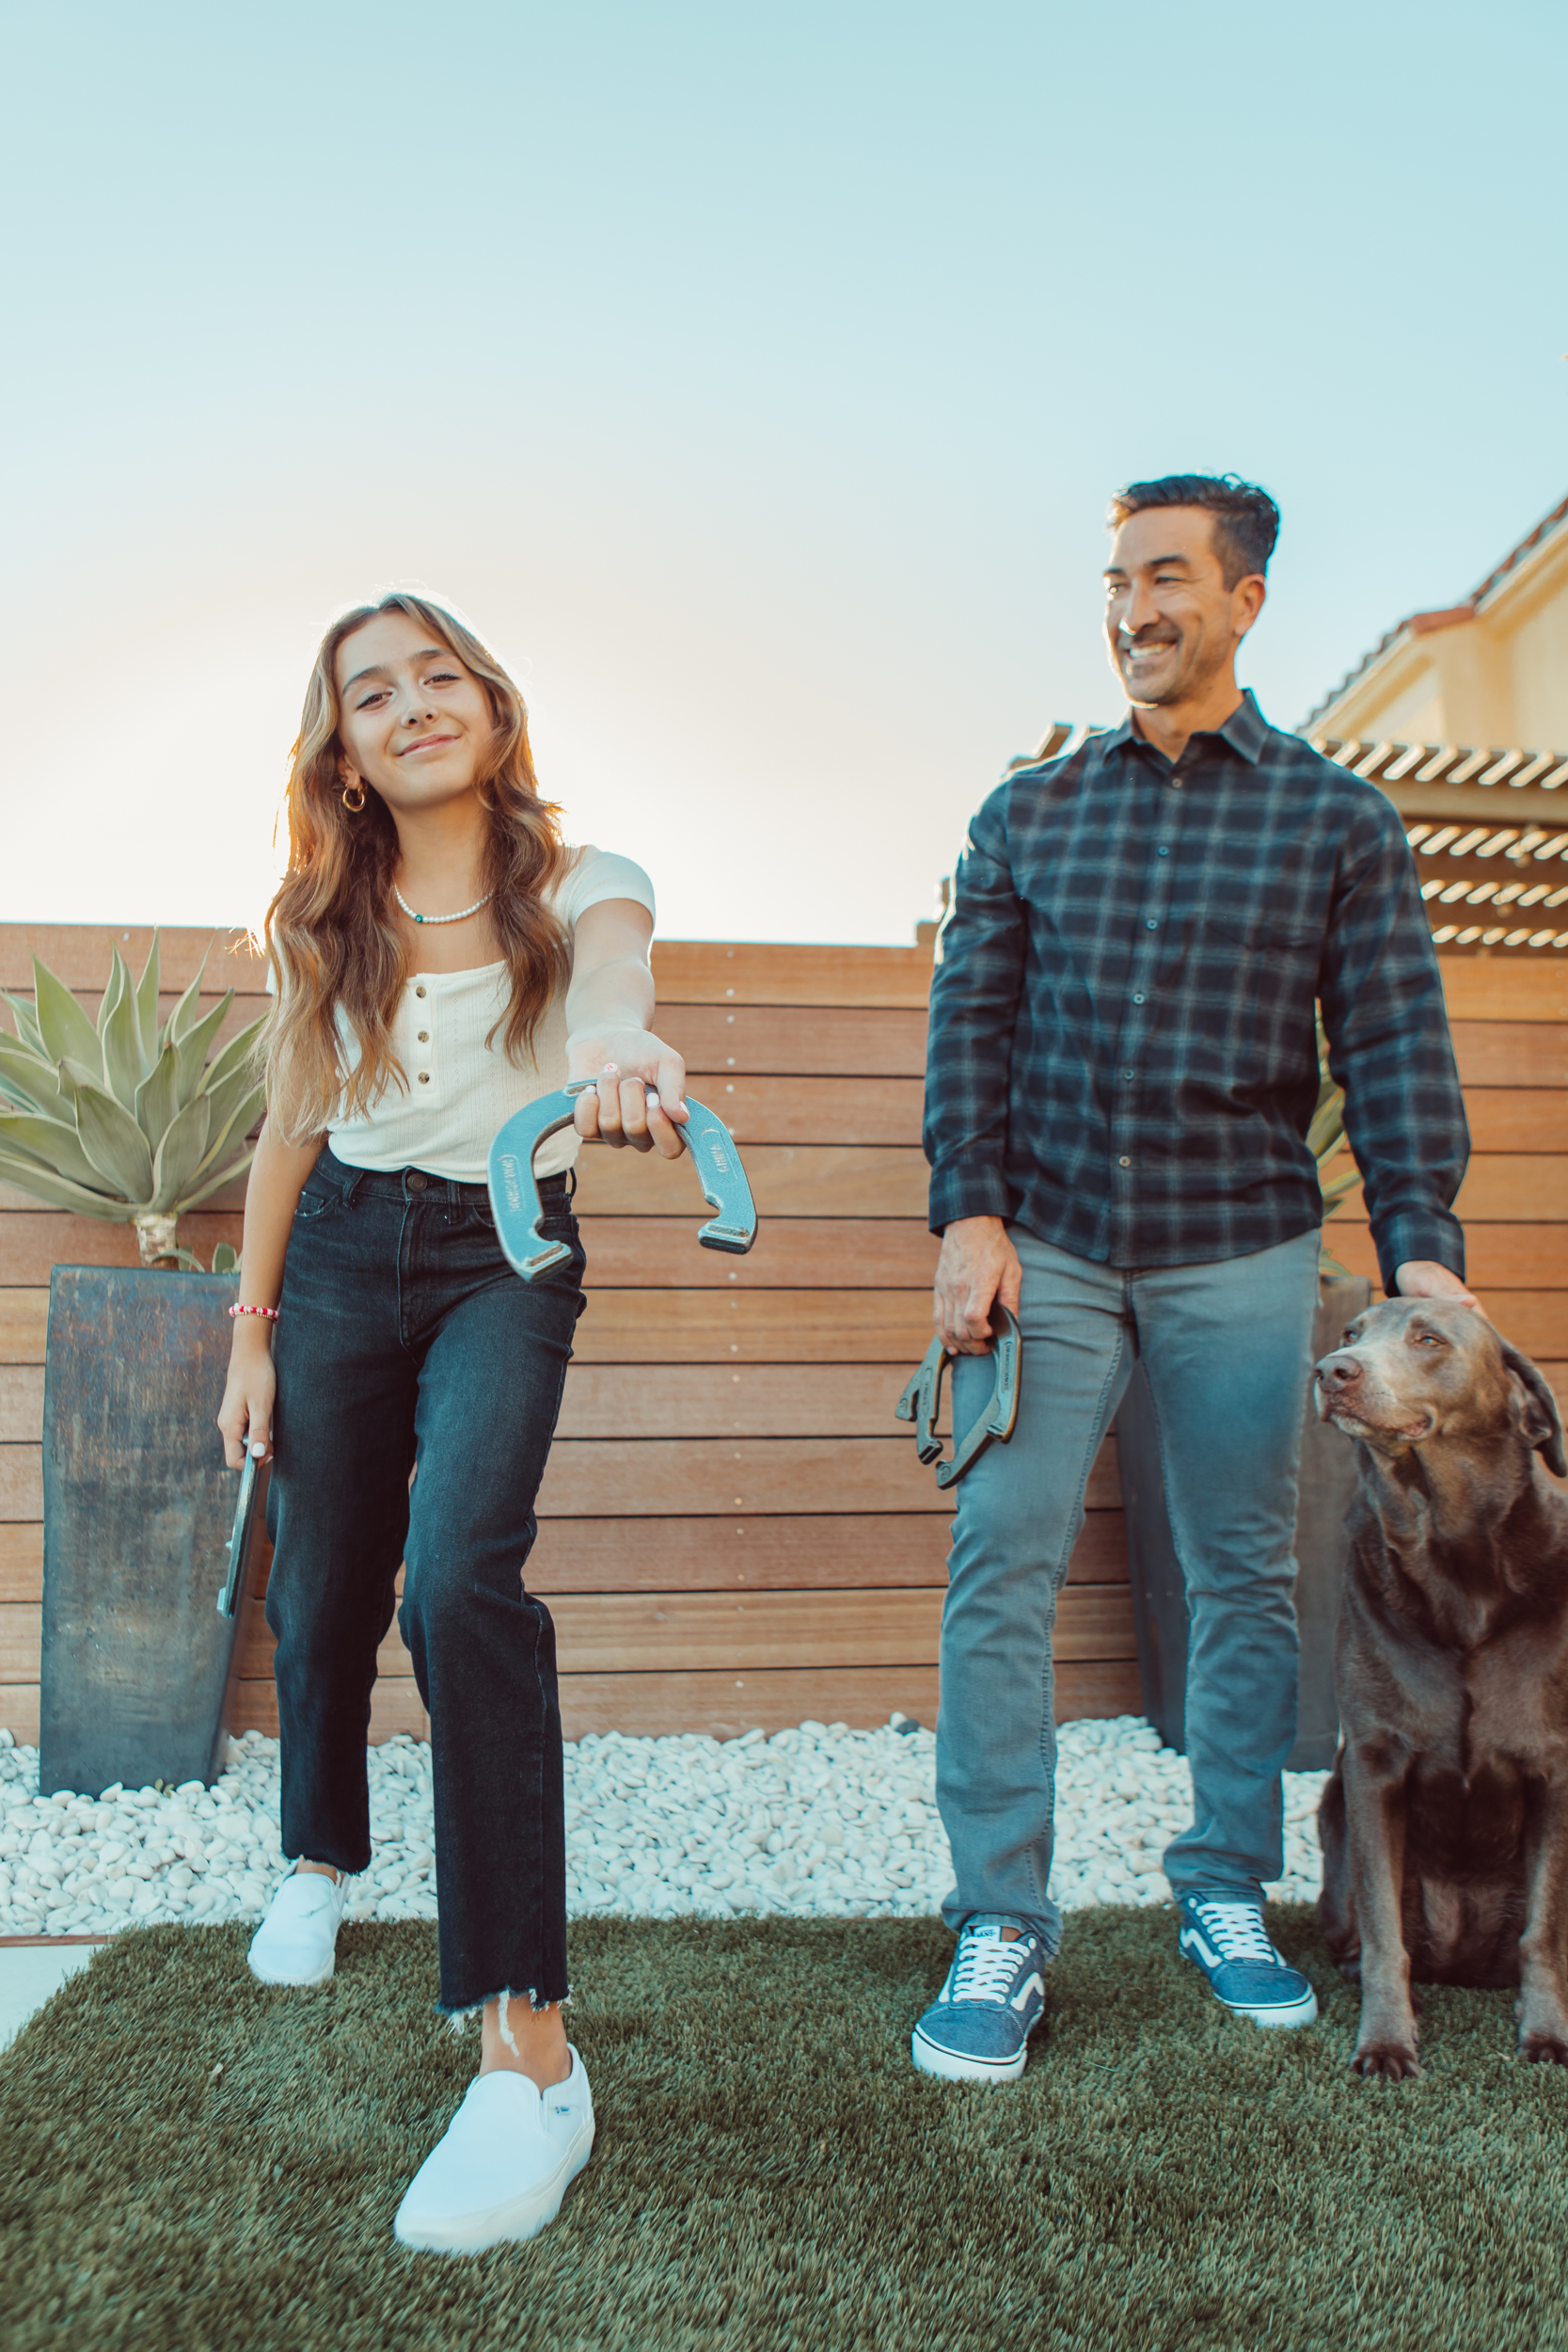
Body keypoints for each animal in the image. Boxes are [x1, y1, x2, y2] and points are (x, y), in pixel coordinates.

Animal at [1316, 1298, 1568, 2089]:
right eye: (1351, 1334)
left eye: (1427, 1339)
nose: (1330, 1371)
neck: (1456, 1564)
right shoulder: (1371, 1768)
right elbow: (1382, 1934)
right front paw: (1386, 2040)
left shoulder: (1556, 1773)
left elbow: (1542, 1931)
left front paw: (1546, 2034)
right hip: (1330, 1821)